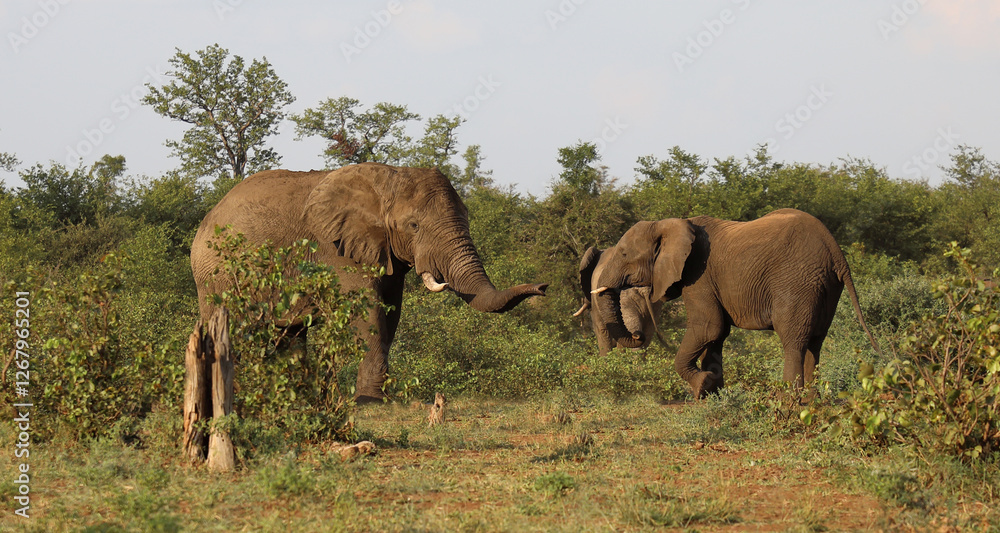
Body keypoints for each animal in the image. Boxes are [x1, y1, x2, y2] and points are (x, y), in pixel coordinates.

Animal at [191, 163, 547, 402]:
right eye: (414, 225)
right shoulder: (333, 246)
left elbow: (390, 313)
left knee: (290, 335)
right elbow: (367, 312)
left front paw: (378, 396)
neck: (388, 181)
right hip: (214, 276)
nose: (543, 288)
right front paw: (371, 401)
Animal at [587, 208, 878, 398]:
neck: (670, 224)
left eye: (624, 254)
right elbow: (717, 334)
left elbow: (709, 327)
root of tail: (835, 250)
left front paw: (702, 386)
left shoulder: (699, 274)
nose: (638, 335)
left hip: (798, 282)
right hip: (826, 285)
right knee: (815, 341)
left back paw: (788, 403)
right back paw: (811, 402)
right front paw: (712, 393)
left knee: (793, 340)